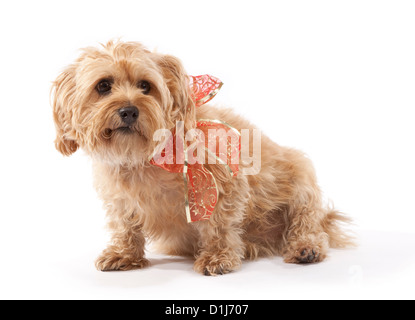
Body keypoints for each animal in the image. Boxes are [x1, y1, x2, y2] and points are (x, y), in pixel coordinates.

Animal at [50, 40, 352, 276]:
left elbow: (219, 224)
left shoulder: (223, 182)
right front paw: (124, 254)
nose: (129, 110)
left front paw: (218, 257)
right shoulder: (119, 199)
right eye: (103, 86)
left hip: (301, 177)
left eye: (145, 86)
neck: (144, 159)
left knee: (308, 223)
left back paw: (305, 248)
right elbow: (125, 226)